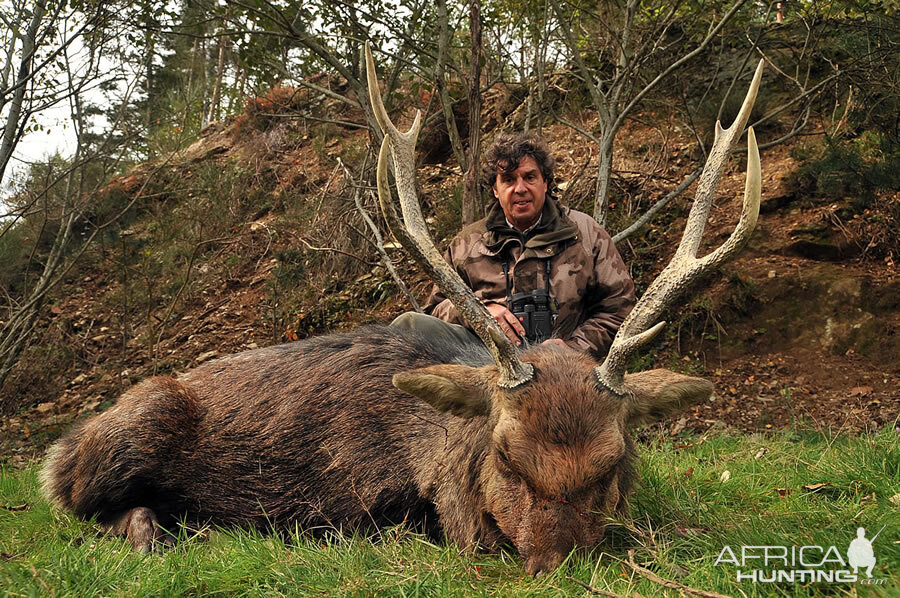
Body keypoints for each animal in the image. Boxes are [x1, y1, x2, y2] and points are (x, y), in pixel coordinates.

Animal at [40, 44, 760, 580]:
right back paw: (157, 530)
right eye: (506, 455)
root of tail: (64, 443)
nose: (553, 564)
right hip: (128, 433)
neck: (438, 456)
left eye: (612, 463)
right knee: (83, 507)